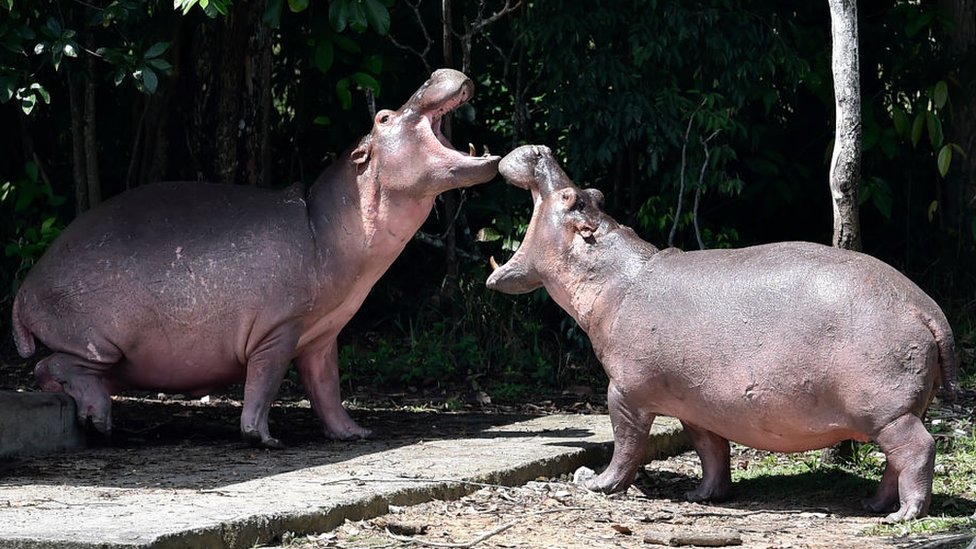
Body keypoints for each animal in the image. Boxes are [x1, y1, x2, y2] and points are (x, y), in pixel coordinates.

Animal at [11, 69, 500, 448]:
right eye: (382, 117)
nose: (434, 73)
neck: (325, 222)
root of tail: (24, 289)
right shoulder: (278, 330)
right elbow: (263, 384)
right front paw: (264, 439)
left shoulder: (323, 334)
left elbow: (327, 389)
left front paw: (355, 434)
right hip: (101, 343)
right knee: (51, 366)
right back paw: (98, 420)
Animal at [485, 144, 956, 521]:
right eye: (593, 194)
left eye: (572, 198)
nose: (540, 149)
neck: (612, 277)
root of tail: (927, 307)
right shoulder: (695, 405)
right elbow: (710, 451)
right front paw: (703, 496)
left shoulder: (625, 392)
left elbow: (626, 444)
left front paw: (595, 483)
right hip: (894, 412)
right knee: (895, 460)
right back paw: (874, 505)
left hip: (888, 412)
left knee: (918, 449)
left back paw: (903, 515)